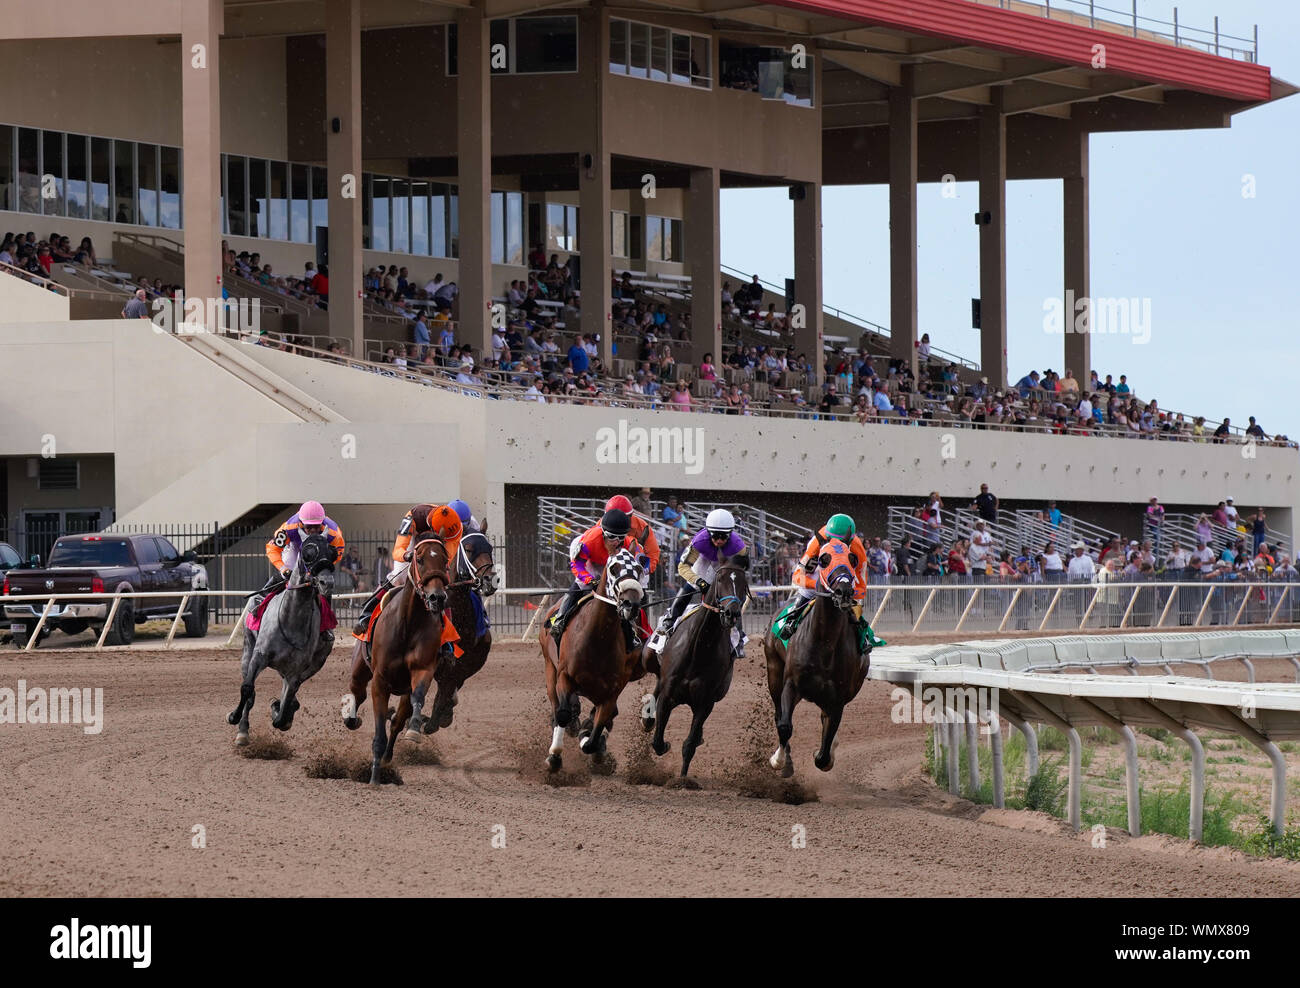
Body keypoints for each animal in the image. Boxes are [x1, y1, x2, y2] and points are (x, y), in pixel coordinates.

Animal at [230, 533, 340, 738]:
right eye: (307, 552)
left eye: (332, 553)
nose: (326, 583)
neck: (291, 621)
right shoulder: (259, 656)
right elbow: (248, 689)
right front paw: (235, 718)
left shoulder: (296, 671)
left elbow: (282, 713)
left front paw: (279, 711)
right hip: (248, 649)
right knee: (250, 690)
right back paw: (243, 730)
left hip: (315, 664)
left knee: (291, 696)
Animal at [538, 548, 644, 769]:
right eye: (614, 568)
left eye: (639, 569)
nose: (631, 605)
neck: (597, 640)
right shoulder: (564, 676)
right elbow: (563, 714)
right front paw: (554, 755)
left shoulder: (611, 692)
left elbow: (593, 738)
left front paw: (589, 738)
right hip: (549, 667)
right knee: (557, 707)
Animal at [644, 559, 748, 774]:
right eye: (720, 579)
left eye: (744, 582)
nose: (731, 613)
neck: (698, 649)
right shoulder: (668, 695)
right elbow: (658, 742)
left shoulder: (705, 703)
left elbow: (689, 745)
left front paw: (682, 778)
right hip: (650, 660)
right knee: (655, 686)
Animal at [759, 540, 868, 780]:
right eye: (824, 559)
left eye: (852, 559)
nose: (844, 591)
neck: (824, 641)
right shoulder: (791, 684)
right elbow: (784, 726)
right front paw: (779, 761)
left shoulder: (838, 699)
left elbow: (824, 753)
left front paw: (827, 753)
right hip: (774, 670)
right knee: (779, 714)